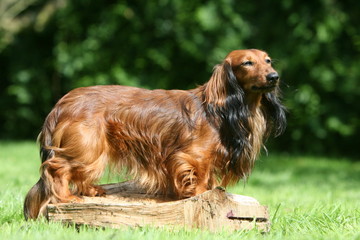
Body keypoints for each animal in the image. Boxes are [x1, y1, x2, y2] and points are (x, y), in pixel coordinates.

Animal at [23, 48, 286, 219]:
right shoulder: (194, 157)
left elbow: (208, 179)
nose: (274, 77)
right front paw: (201, 196)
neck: (219, 108)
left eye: (268, 61)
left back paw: (90, 190)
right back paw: (66, 198)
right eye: (247, 63)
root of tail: (61, 103)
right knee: (56, 169)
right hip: (87, 147)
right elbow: (200, 180)